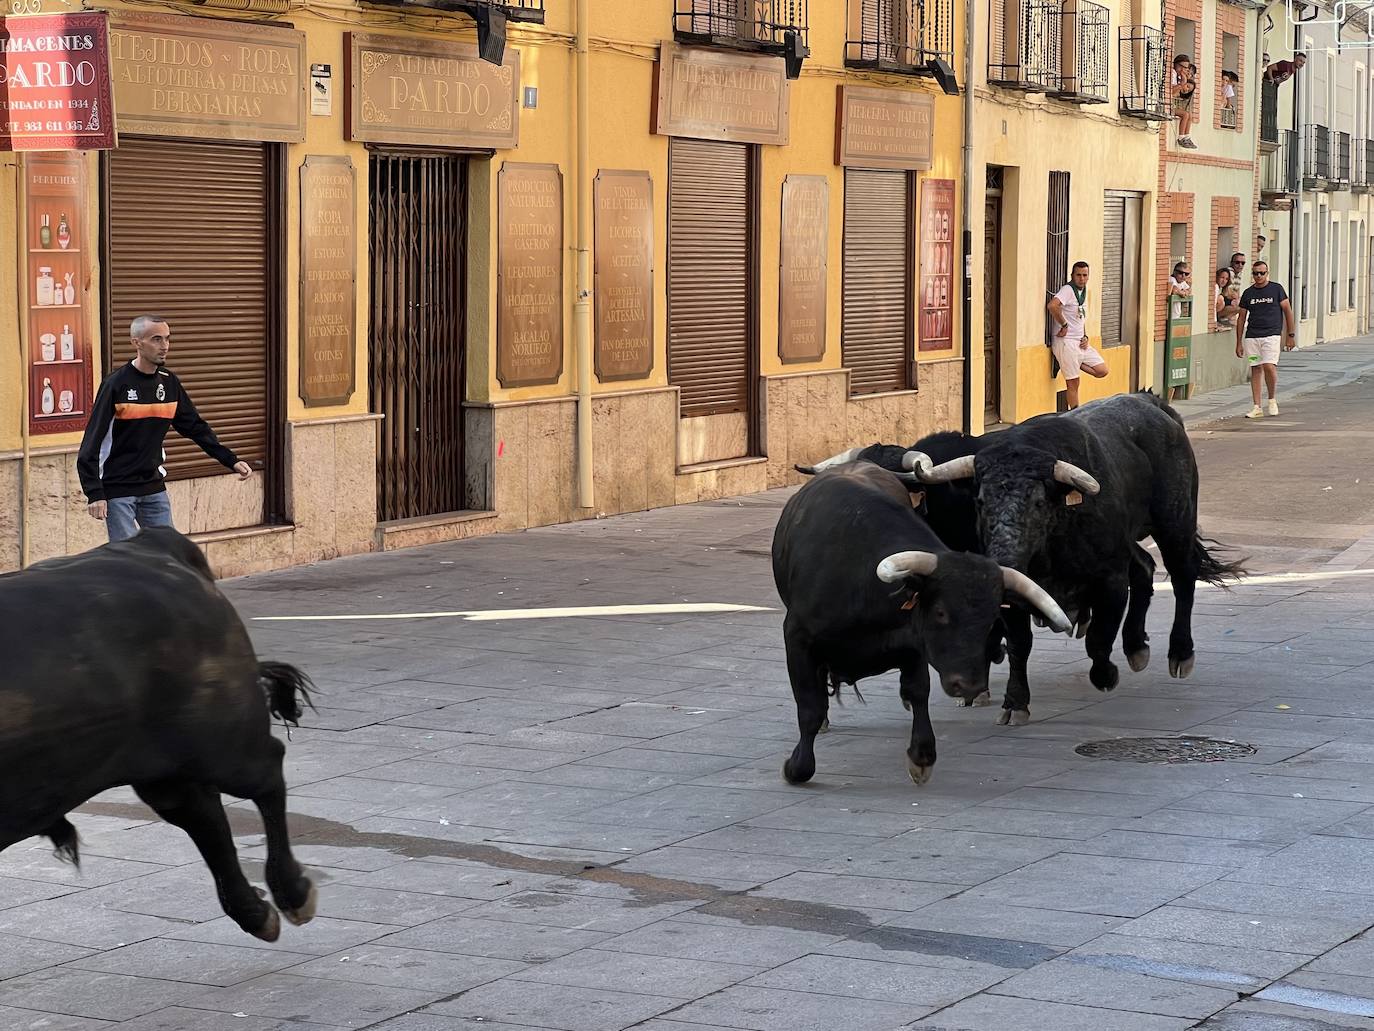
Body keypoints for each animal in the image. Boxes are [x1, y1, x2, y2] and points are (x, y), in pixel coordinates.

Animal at [1, 533, 316, 945]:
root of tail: (151, 544)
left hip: (224, 742)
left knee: (267, 776)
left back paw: (292, 892)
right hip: (165, 771)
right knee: (205, 816)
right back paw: (256, 911)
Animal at [769, 464, 1066, 786]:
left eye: (990, 620)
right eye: (940, 612)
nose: (970, 685)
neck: (861, 583)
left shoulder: (913, 646)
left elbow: (918, 691)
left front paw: (921, 756)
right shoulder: (797, 640)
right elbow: (809, 707)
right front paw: (797, 767)